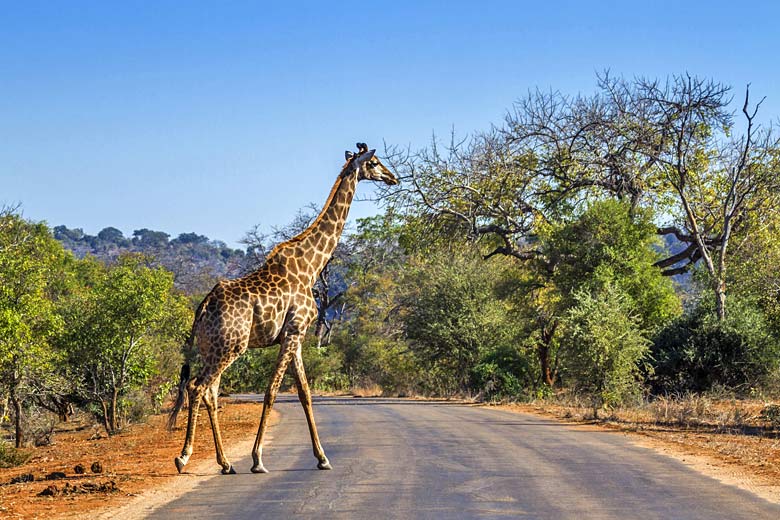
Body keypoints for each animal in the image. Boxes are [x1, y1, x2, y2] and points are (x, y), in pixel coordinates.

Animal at [168, 142, 400, 476]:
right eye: (376, 162)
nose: (394, 178)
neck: (311, 266)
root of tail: (204, 306)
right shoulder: (293, 332)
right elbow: (272, 391)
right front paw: (258, 460)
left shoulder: (297, 336)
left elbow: (305, 393)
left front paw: (322, 458)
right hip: (230, 347)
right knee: (198, 387)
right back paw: (184, 457)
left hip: (212, 348)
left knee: (210, 391)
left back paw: (225, 463)